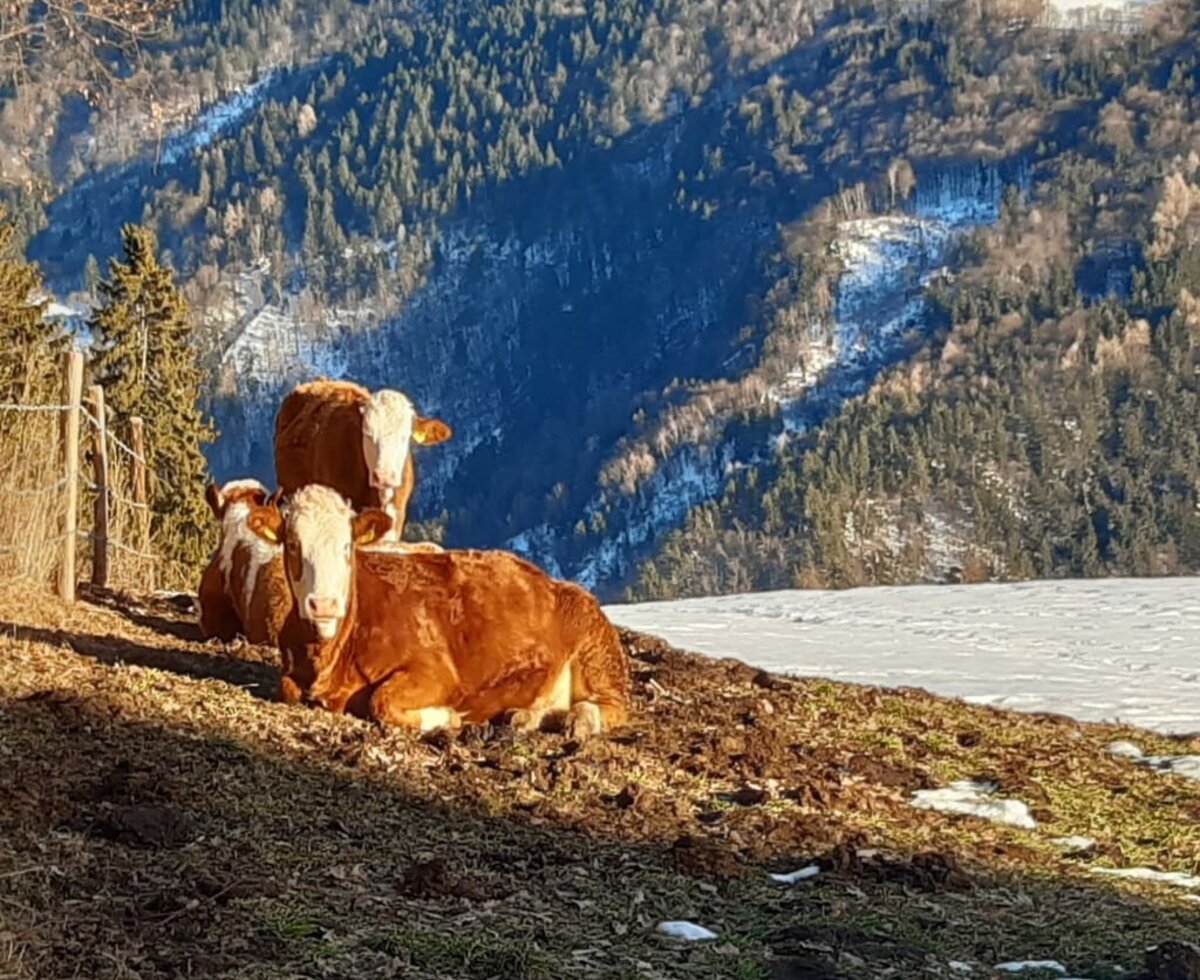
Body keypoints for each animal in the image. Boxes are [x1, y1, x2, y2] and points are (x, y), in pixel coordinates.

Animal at [244, 484, 633, 738]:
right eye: (293, 544)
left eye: (346, 546)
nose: (324, 604)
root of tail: (556, 583)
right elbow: (287, 689)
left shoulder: (436, 671)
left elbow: (381, 701)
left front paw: (447, 718)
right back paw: (524, 717)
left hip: (596, 652)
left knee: (612, 706)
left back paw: (578, 720)